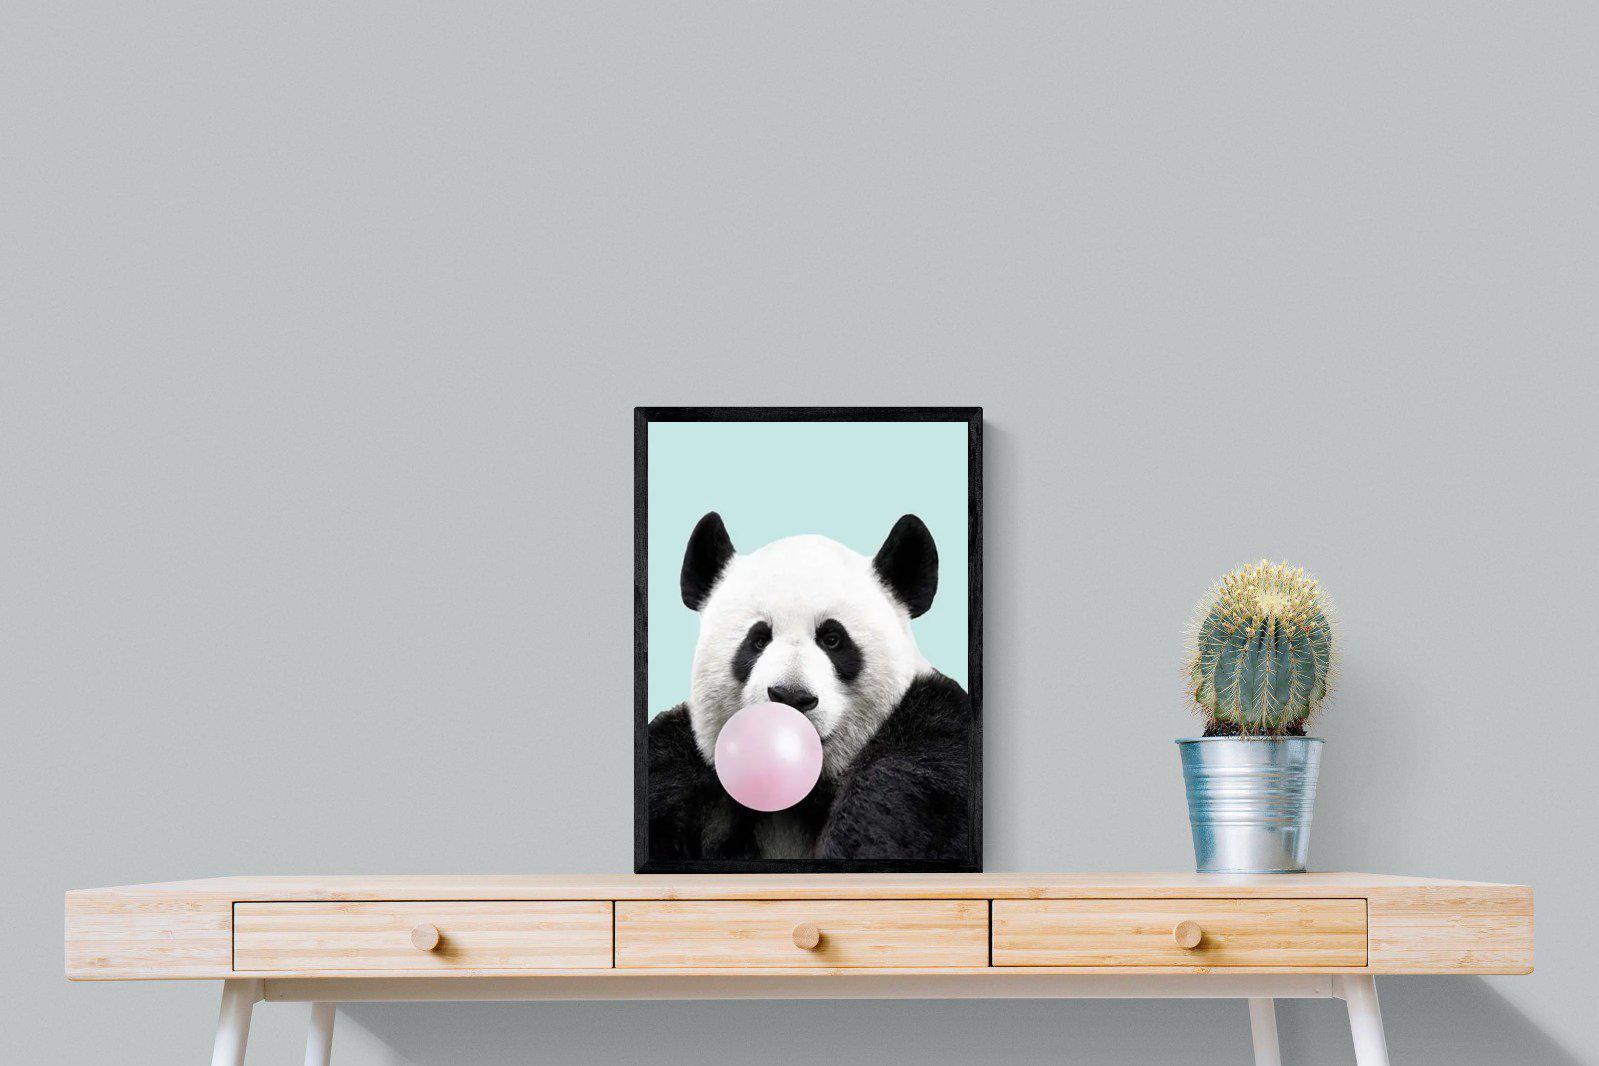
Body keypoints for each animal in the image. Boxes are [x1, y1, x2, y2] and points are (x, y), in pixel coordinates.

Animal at [647, 511, 974, 863]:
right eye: (758, 640)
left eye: (832, 639)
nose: (791, 696)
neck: (800, 795)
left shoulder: (934, 743)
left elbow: (898, 801)